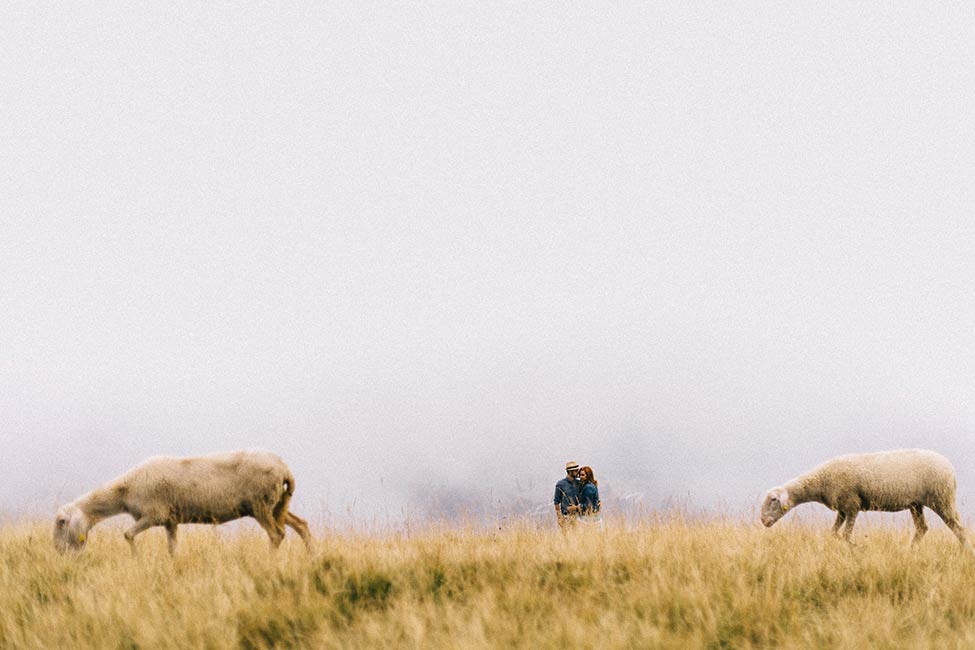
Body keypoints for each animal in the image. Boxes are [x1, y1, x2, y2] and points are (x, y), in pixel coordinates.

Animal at [52, 450, 312, 552]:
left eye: (62, 522)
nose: (58, 552)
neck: (125, 491)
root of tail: (285, 470)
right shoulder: (170, 520)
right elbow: (172, 548)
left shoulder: (154, 514)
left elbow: (127, 535)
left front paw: (135, 558)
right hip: (277, 504)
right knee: (301, 525)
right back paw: (311, 556)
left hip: (260, 505)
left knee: (276, 535)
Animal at [764, 446, 975, 548]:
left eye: (773, 501)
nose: (763, 521)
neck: (821, 481)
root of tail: (950, 467)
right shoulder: (842, 509)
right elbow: (834, 533)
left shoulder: (852, 505)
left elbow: (845, 535)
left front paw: (856, 546)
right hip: (916, 504)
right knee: (922, 528)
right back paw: (909, 551)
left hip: (942, 498)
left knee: (958, 527)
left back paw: (967, 551)